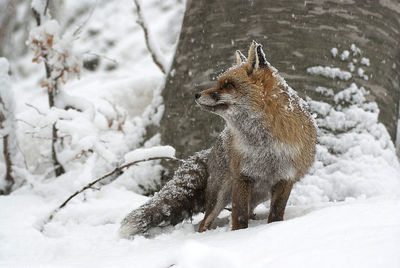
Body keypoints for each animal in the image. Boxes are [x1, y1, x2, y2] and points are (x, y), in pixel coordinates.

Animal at [119, 40, 316, 238]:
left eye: (228, 85)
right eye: (218, 83)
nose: (196, 94)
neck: (263, 145)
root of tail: (210, 151)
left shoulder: (285, 178)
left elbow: (275, 215)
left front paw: (271, 228)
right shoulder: (242, 176)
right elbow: (239, 217)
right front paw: (238, 236)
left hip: (260, 194)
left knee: (248, 211)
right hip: (220, 195)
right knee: (204, 223)